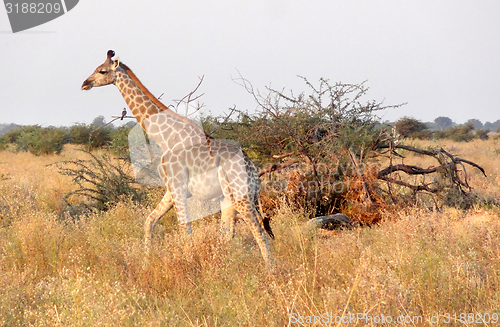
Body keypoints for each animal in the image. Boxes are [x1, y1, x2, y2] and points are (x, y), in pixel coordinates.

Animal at [82, 50, 276, 268]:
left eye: (102, 70)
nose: (85, 83)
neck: (165, 137)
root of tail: (253, 170)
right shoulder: (170, 189)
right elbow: (150, 222)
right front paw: (146, 263)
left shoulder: (178, 187)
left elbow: (185, 230)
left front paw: (190, 264)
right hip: (228, 199)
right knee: (228, 234)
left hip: (241, 195)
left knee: (258, 230)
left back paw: (270, 270)